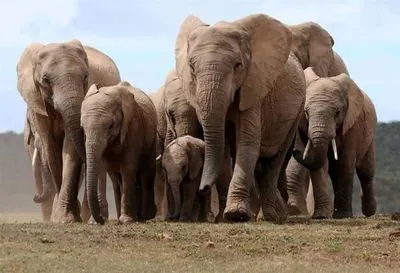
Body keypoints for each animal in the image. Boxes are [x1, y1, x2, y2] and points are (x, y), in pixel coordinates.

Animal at [16, 39, 120, 222]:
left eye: (85, 77)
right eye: (45, 80)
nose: (35, 196)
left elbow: (70, 150)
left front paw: (67, 218)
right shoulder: (37, 103)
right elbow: (51, 151)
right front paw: (61, 217)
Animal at [80, 80, 157, 223]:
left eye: (111, 125)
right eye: (82, 127)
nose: (102, 220)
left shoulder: (133, 126)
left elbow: (128, 167)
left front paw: (127, 221)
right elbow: (100, 168)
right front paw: (94, 222)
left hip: (152, 139)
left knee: (147, 172)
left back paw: (145, 217)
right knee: (117, 179)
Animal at [176, 13, 306, 221]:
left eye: (238, 66)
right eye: (192, 68)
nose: (203, 188)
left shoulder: (254, 87)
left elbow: (248, 143)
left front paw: (236, 215)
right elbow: (222, 147)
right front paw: (227, 218)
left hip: (297, 110)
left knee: (275, 160)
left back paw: (269, 217)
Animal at [292, 67, 376, 218]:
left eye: (337, 113)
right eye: (306, 112)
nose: (295, 151)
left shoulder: (353, 125)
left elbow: (346, 162)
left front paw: (343, 216)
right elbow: (320, 164)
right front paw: (320, 216)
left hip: (369, 135)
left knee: (366, 171)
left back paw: (369, 212)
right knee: (335, 171)